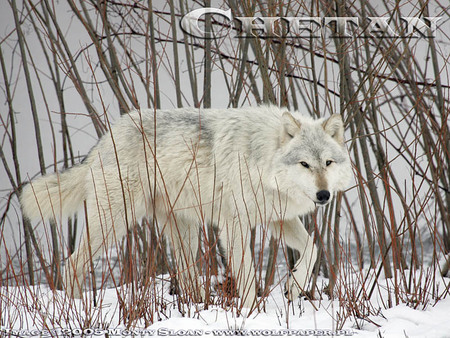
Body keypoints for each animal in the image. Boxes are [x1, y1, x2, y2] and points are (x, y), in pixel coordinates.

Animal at [21, 106, 352, 308]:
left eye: (327, 163)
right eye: (305, 164)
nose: (323, 195)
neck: (261, 156)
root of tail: (105, 138)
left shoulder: (276, 219)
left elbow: (312, 249)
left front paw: (294, 288)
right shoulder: (234, 225)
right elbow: (246, 276)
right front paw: (249, 316)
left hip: (184, 234)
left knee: (187, 276)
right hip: (113, 223)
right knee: (71, 264)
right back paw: (77, 310)